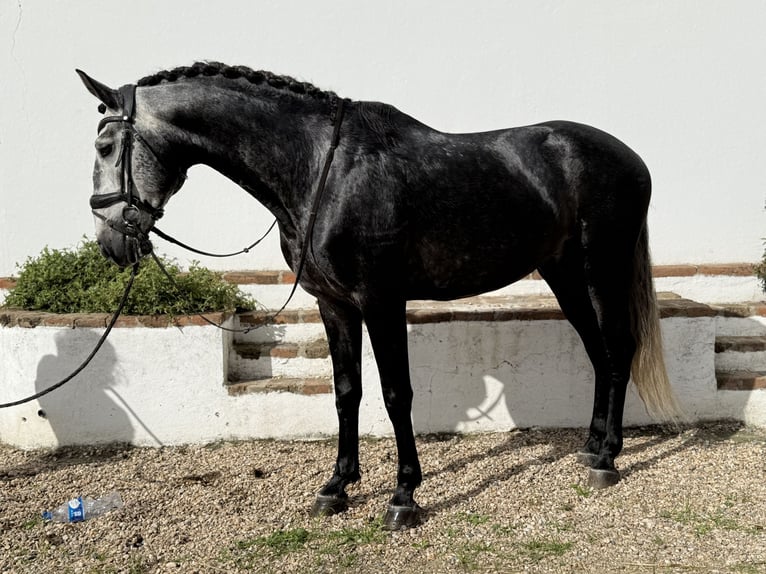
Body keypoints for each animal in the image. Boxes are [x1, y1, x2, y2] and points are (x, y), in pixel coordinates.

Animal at [76, 62, 680, 532]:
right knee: (598, 352)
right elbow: (347, 392)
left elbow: (395, 395)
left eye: (105, 146)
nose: (110, 242)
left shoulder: (381, 301)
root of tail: (632, 159)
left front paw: (404, 496)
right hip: (563, 275)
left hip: (601, 271)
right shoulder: (335, 304)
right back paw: (591, 445)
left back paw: (608, 458)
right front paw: (336, 487)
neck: (322, 171)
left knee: (618, 350)